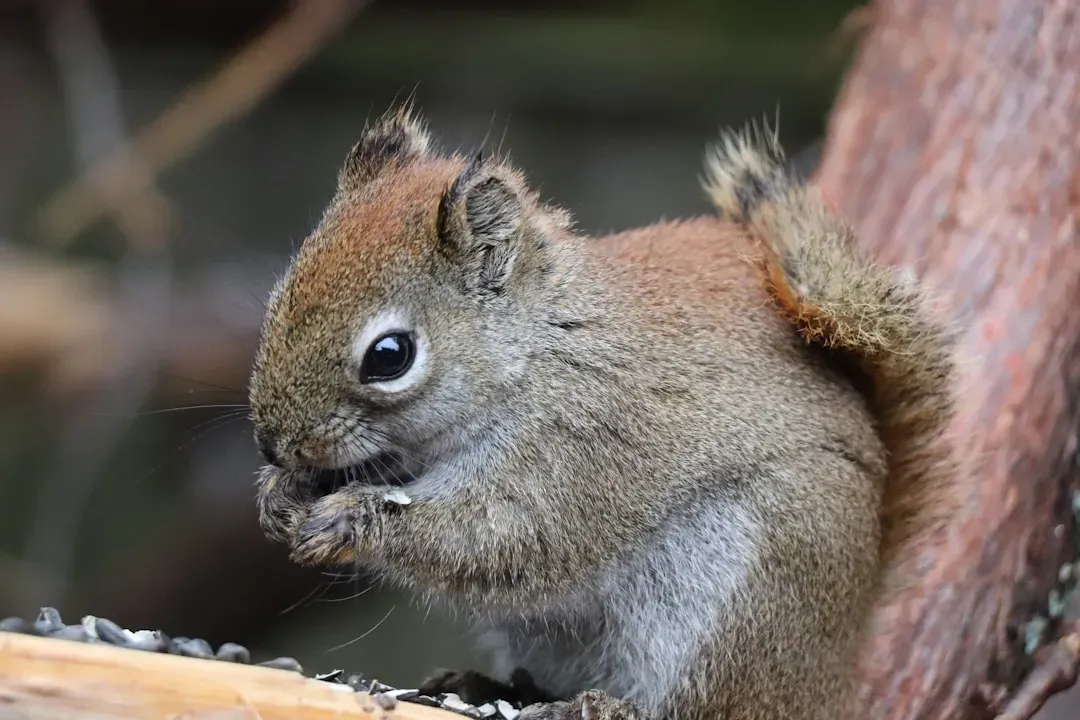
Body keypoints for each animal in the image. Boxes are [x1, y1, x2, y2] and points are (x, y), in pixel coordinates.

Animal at [247, 106, 957, 720]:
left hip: (745, 593)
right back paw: (488, 686)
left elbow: (504, 537)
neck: (533, 355)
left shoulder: (585, 442)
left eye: (390, 356)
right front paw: (280, 495)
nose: (272, 444)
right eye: (280, 295)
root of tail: (837, 668)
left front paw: (347, 520)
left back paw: (607, 707)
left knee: (708, 704)